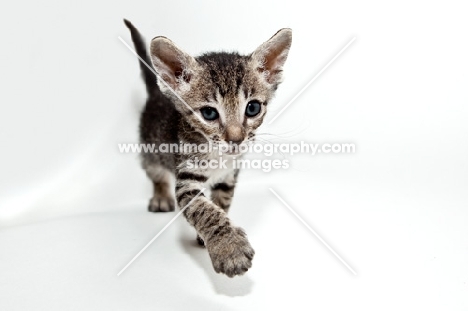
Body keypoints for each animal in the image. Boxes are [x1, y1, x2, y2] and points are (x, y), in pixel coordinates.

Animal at [124, 20, 292, 278]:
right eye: (209, 113)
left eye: (252, 108)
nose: (236, 139)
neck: (218, 156)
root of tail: (156, 94)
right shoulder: (187, 181)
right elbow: (205, 210)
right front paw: (230, 249)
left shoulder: (229, 177)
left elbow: (220, 203)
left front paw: (210, 238)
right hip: (150, 152)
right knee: (156, 174)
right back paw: (160, 196)